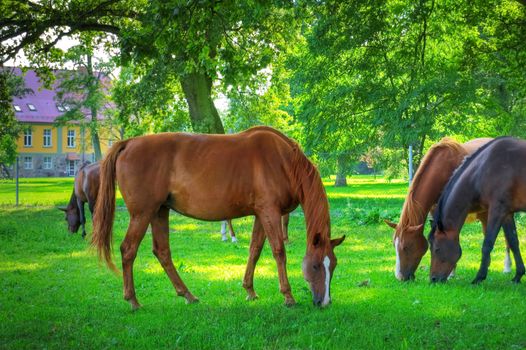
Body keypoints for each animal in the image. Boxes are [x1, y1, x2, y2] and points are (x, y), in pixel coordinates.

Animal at [92, 126, 346, 308]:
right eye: (315, 266)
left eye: (333, 265)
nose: (324, 302)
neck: (284, 162)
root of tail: (128, 143)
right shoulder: (270, 212)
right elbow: (278, 252)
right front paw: (288, 296)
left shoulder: (261, 214)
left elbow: (255, 250)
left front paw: (249, 290)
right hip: (143, 213)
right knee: (128, 250)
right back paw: (133, 300)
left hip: (159, 212)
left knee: (162, 252)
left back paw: (188, 295)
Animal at [388, 136, 516, 278]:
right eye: (394, 245)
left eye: (406, 247)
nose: (400, 277)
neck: (442, 168)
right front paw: (450, 272)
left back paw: (507, 266)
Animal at [428, 137, 526, 284]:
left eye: (437, 249)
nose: (433, 279)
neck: (482, 170)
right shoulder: (507, 213)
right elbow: (513, 242)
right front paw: (518, 275)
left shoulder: (497, 210)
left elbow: (487, 244)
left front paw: (479, 277)